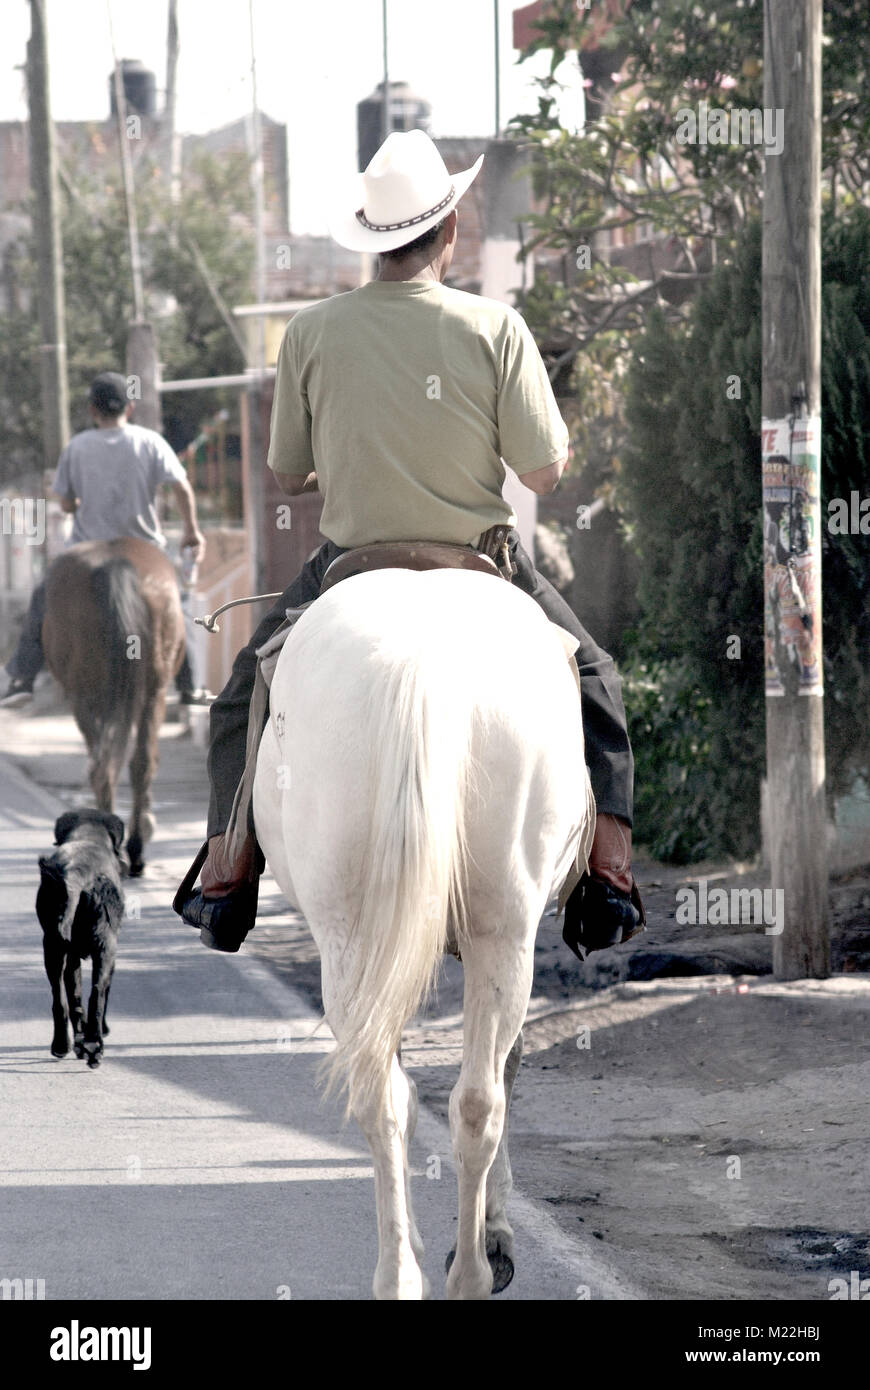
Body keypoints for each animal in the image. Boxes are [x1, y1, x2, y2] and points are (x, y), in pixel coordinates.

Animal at [35, 811, 125, 1067]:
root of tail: (77, 875)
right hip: (105, 947)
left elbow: (73, 995)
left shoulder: (71, 954)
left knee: (63, 999)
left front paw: (79, 1041)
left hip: (53, 946)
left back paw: (72, 1045)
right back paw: (89, 1045)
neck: (88, 835)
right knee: (97, 993)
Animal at [42, 536, 184, 872]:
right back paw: (132, 848)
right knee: (135, 763)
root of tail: (115, 565)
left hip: (86, 694)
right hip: (151, 693)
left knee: (105, 764)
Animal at [250, 558, 589, 1295]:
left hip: (355, 937)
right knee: (473, 1099)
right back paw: (469, 1270)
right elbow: (507, 1066)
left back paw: (403, 1273)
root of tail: (423, 657)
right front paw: (495, 1231)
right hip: (501, 930)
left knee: (394, 1095)